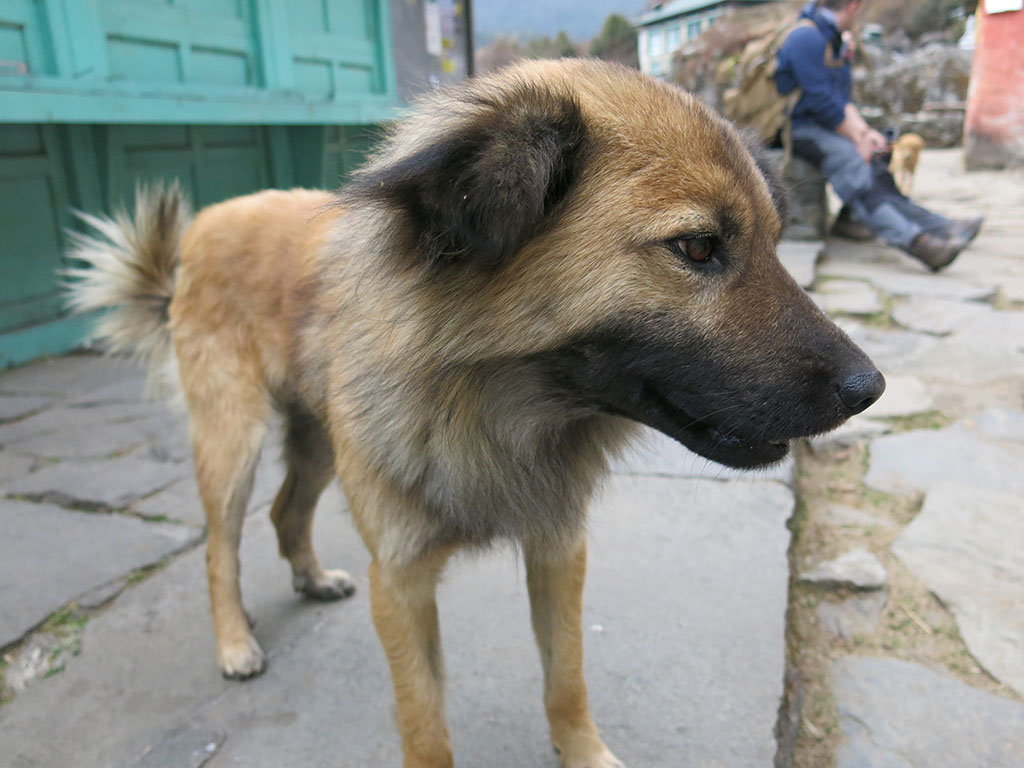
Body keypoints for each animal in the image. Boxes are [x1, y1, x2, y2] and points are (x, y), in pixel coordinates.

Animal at [66, 59, 883, 768]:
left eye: (776, 242)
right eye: (698, 247)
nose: (870, 388)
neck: (490, 407)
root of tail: (204, 226)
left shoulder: (558, 546)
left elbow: (566, 679)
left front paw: (585, 754)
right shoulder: (400, 581)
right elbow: (424, 721)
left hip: (321, 439)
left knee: (286, 508)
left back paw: (311, 576)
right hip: (231, 439)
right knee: (221, 546)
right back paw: (235, 642)